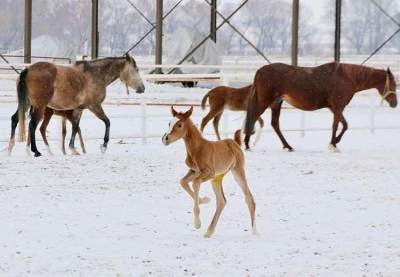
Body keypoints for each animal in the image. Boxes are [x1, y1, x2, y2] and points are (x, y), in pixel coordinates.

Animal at [7, 53, 145, 155]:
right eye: (136, 69)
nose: (142, 88)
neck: (95, 75)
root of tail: (28, 69)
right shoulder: (95, 106)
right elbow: (107, 122)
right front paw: (104, 145)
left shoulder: (79, 109)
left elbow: (75, 126)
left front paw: (73, 148)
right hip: (39, 107)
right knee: (33, 124)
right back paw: (35, 151)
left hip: (26, 104)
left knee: (15, 119)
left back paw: (10, 148)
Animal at [162, 105, 258, 237]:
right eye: (169, 123)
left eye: (180, 124)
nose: (165, 139)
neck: (197, 149)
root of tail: (234, 143)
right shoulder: (194, 171)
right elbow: (183, 182)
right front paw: (205, 200)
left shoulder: (209, 172)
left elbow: (195, 183)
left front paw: (197, 223)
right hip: (217, 178)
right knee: (222, 201)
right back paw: (209, 231)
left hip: (237, 171)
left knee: (249, 198)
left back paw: (255, 232)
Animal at [244, 61, 396, 151]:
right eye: (393, 84)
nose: (395, 103)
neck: (347, 78)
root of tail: (260, 70)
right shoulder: (338, 106)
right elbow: (336, 125)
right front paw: (333, 144)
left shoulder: (334, 107)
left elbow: (344, 125)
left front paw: (335, 142)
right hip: (266, 102)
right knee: (253, 118)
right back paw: (246, 144)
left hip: (276, 103)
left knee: (275, 124)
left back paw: (288, 146)